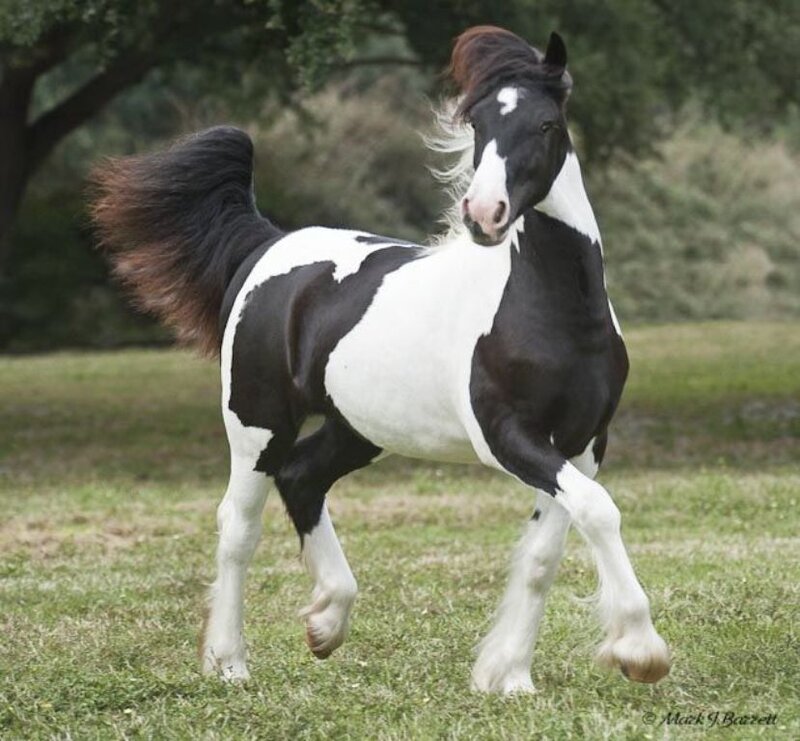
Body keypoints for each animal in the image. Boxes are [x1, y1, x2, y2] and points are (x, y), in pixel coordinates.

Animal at [91, 26, 671, 694]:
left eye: (547, 124)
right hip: (256, 424)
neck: (555, 314)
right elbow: (598, 512)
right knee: (238, 524)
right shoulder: (507, 437)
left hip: (356, 429)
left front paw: (509, 676)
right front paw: (639, 650)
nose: (484, 215)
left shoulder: (583, 443)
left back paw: (326, 623)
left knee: (302, 477)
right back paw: (229, 662)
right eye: (477, 123)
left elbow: (546, 551)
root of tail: (271, 244)